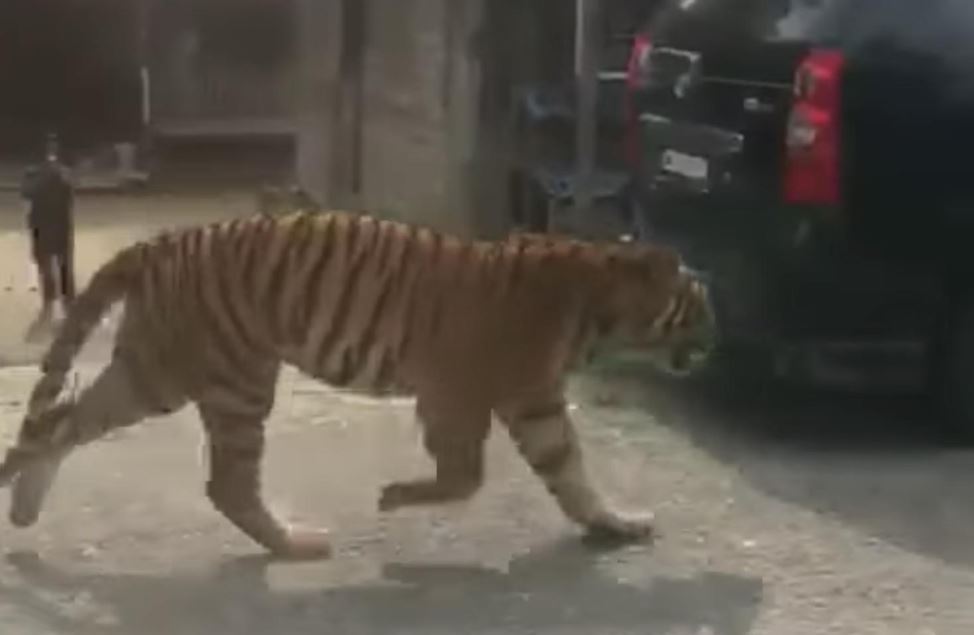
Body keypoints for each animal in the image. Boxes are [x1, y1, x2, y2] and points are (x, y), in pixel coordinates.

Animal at [0, 207, 717, 561]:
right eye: (699, 303)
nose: (717, 340)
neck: (599, 300)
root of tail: (163, 241)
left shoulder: (530, 403)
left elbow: (570, 475)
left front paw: (616, 524)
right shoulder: (470, 392)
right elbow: (471, 475)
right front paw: (395, 497)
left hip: (156, 368)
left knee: (59, 418)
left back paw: (23, 508)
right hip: (212, 379)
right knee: (224, 482)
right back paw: (297, 545)